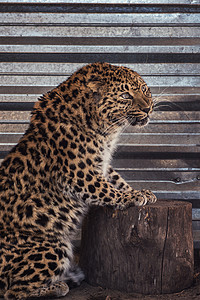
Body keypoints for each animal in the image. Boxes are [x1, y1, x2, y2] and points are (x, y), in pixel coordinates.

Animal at [0, 62, 156, 298]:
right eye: (125, 95)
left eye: (145, 90)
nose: (148, 108)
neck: (104, 128)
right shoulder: (78, 172)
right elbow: (105, 189)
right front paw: (133, 197)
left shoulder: (101, 164)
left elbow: (115, 179)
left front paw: (139, 191)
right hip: (54, 244)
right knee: (13, 291)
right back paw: (59, 286)